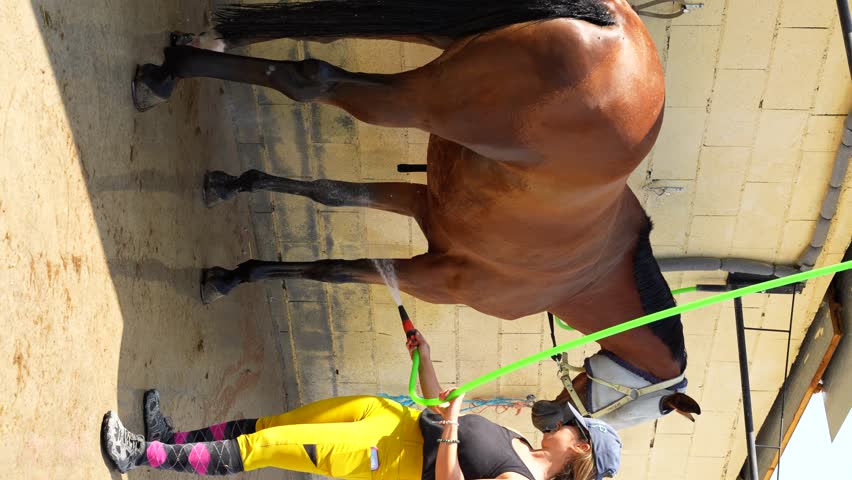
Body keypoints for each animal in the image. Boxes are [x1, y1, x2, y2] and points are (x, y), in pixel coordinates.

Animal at [132, 0, 701, 429]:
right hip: (419, 98)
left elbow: (328, 194)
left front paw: (234, 195)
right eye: (629, 408)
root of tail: (616, 23)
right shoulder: (434, 279)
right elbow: (334, 269)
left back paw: (188, 54)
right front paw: (231, 276)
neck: (588, 274)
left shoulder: (422, 205)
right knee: (312, 78)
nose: (547, 418)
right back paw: (166, 74)